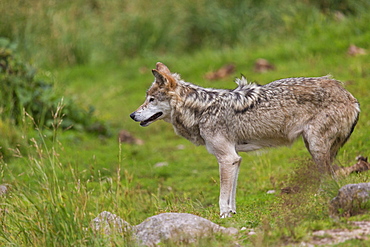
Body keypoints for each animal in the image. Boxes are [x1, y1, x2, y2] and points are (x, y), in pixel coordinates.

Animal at [130, 62, 358, 218]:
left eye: (151, 99)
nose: (132, 115)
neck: (201, 111)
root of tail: (349, 95)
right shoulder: (235, 159)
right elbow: (231, 196)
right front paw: (232, 216)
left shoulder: (227, 158)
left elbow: (222, 196)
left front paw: (222, 217)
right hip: (315, 147)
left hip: (316, 147)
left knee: (330, 179)